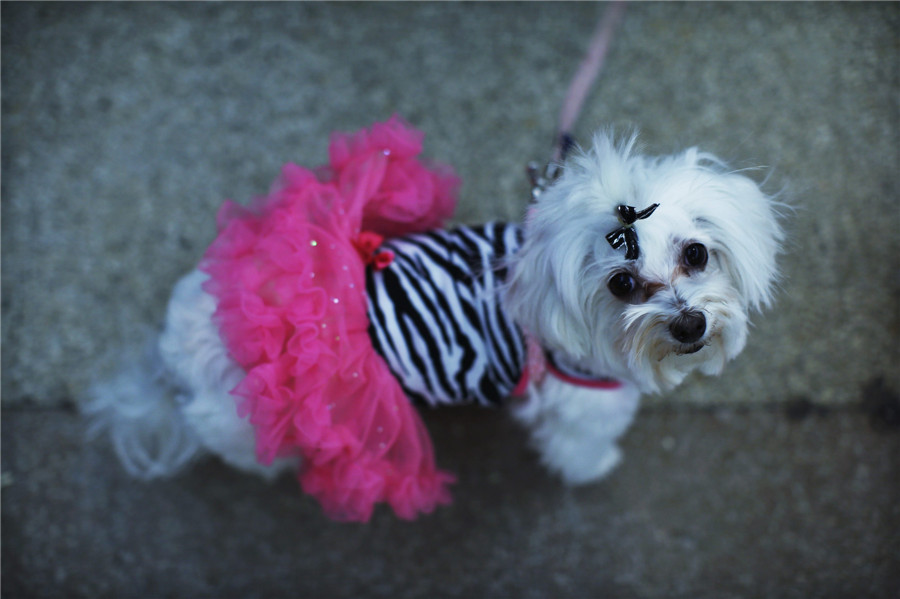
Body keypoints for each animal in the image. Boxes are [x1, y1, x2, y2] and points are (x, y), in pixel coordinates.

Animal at [88, 130, 784, 516]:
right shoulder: (580, 400)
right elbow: (579, 446)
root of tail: (175, 343)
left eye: (695, 254)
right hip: (241, 411)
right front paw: (595, 467)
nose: (689, 326)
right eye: (620, 283)